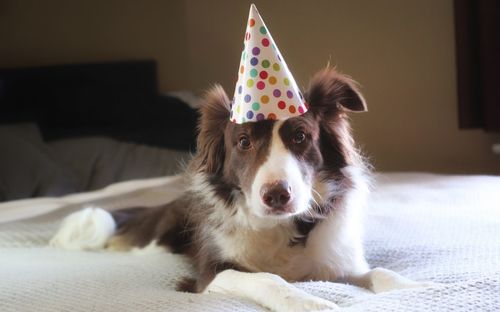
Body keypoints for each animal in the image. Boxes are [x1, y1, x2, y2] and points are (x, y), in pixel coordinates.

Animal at [49, 67, 426, 310]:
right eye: (243, 142)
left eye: (300, 136)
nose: (277, 196)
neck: (281, 227)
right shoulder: (208, 275)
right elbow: (268, 279)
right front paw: (309, 302)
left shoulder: (338, 265)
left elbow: (379, 272)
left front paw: (420, 287)